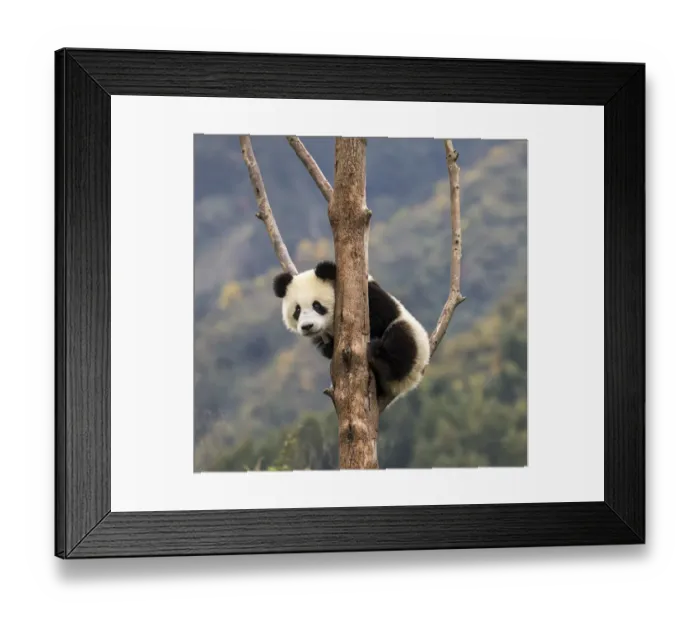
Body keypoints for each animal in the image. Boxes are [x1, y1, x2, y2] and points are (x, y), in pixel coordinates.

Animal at [273, 260, 431, 411]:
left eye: (317, 305)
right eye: (297, 310)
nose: (307, 326)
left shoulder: (367, 294)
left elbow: (383, 316)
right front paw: (329, 347)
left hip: (417, 348)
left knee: (401, 340)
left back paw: (379, 357)